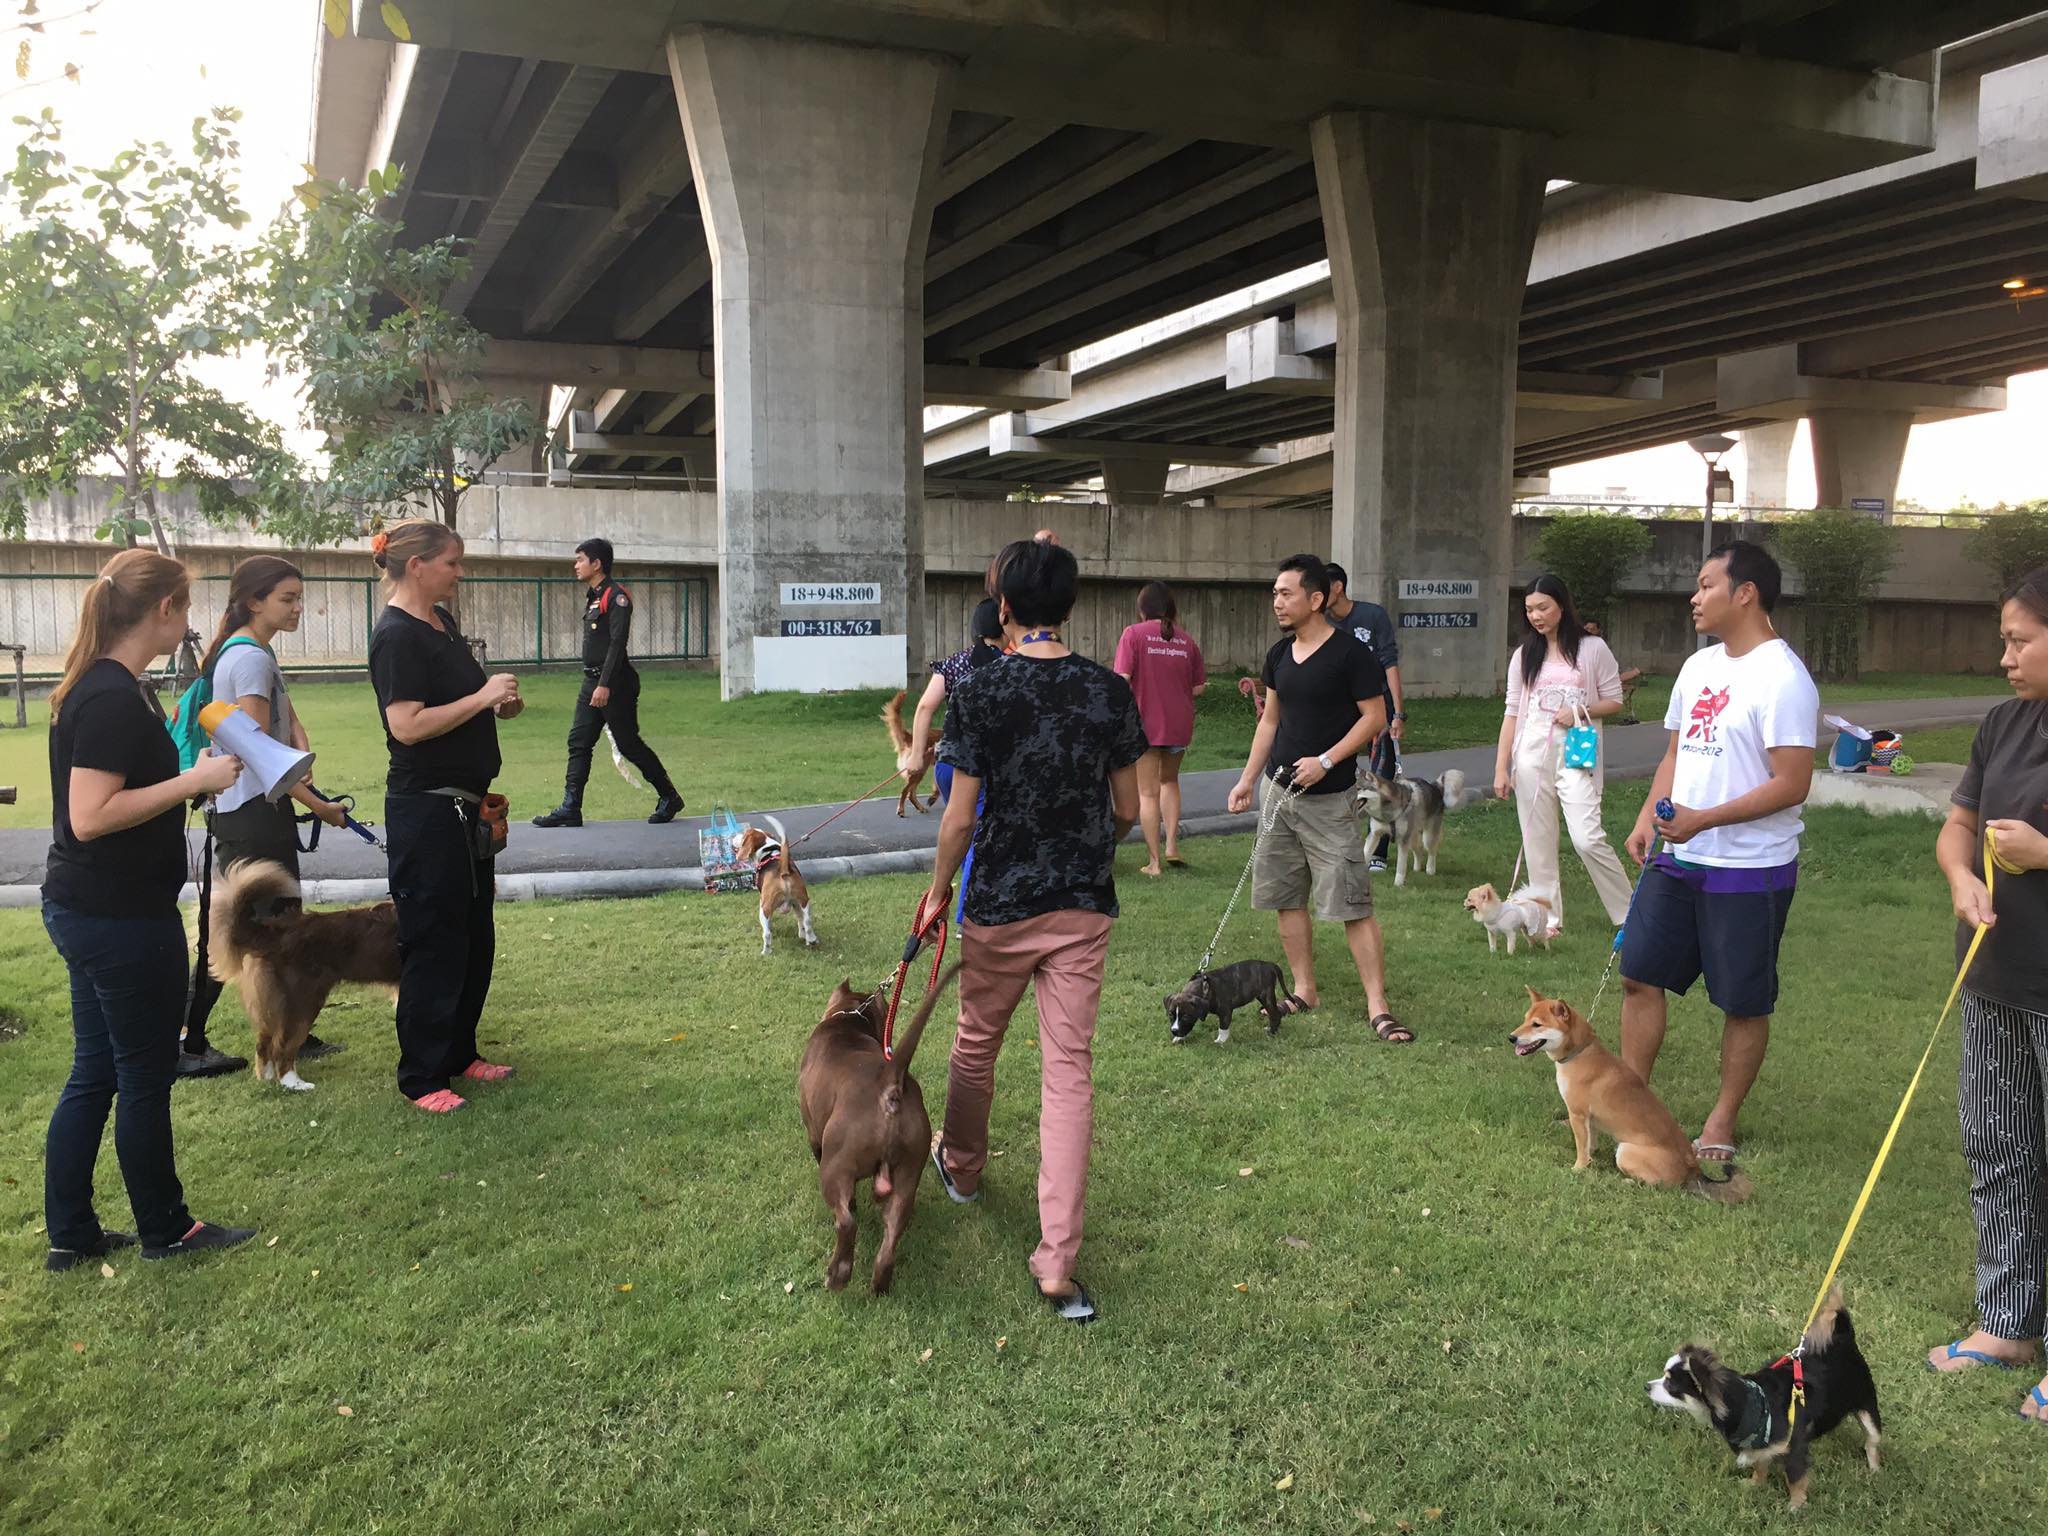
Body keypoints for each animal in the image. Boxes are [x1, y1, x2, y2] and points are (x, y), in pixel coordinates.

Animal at [207, 856, 399, 1097]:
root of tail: (278, 933)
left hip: (276, 1003)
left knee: (264, 1041)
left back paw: (267, 1077)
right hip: (302, 1000)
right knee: (281, 1046)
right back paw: (293, 1082)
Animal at [733, 823, 819, 958]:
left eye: (743, 836)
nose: (734, 836)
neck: (768, 852)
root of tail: (782, 871)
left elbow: (768, 927)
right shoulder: (796, 904)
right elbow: (800, 920)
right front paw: (802, 935)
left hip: (764, 908)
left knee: (767, 934)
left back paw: (765, 952)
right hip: (804, 900)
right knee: (808, 922)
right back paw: (811, 939)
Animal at [794, 966, 962, 1294]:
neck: (849, 1019)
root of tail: (890, 1083)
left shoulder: (814, 1133)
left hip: (836, 1165)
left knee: (847, 1222)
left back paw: (838, 1274)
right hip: (910, 1166)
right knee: (894, 1226)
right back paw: (880, 1282)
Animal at [1515, 991, 1753, 1212]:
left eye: (1537, 1024)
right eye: (1525, 1019)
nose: (1511, 1037)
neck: (1580, 1052)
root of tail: (1692, 1170)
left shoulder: (1578, 1113)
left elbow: (1581, 1147)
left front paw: (1578, 1168)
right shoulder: (1589, 1118)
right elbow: (1590, 1142)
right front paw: (1591, 1158)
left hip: (1626, 1151)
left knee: (1657, 1186)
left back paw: (1628, 1182)